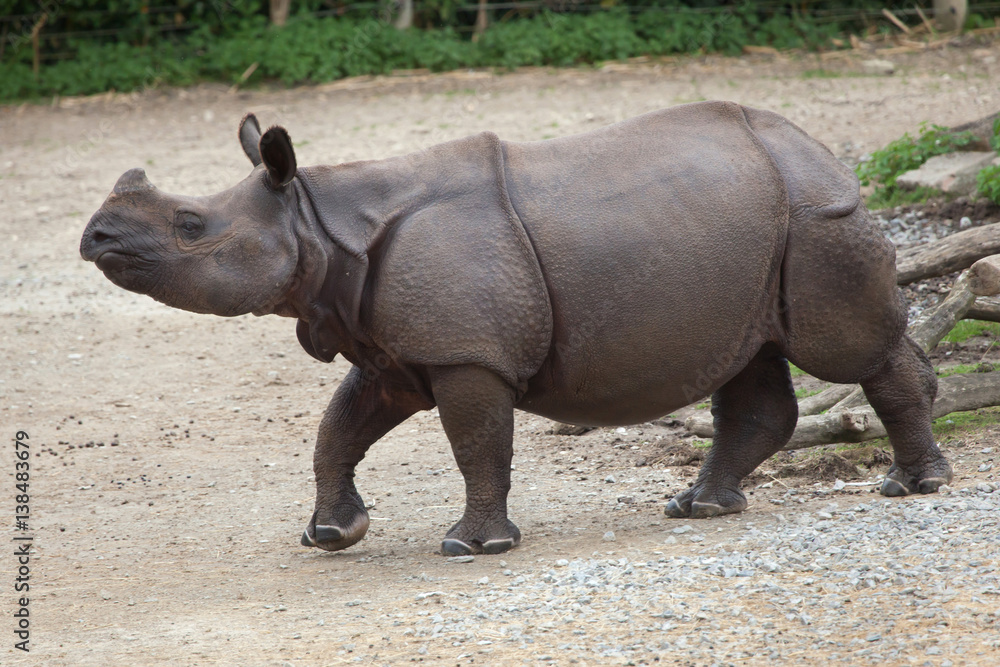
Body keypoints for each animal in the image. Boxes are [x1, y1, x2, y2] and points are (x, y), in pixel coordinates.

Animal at [80, 102, 952, 556]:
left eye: (191, 226)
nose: (94, 237)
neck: (320, 223)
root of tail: (820, 148)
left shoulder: (467, 352)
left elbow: (476, 443)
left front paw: (472, 546)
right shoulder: (394, 348)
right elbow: (338, 429)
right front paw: (332, 533)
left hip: (817, 218)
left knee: (846, 350)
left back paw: (914, 488)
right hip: (756, 226)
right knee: (752, 360)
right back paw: (698, 507)